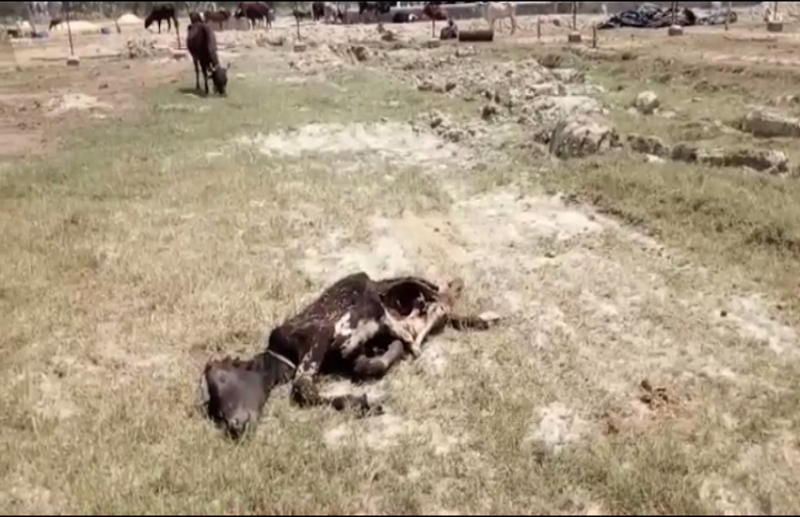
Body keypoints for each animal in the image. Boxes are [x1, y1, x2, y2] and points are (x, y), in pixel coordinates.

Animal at [196, 272, 502, 440]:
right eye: (213, 410)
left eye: (221, 378)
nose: (234, 426)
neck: (282, 352)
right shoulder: (349, 354)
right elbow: (369, 366)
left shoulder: (319, 334)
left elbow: (302, 388)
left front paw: (365, 401)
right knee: (445, 308)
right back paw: (480, 319)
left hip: (395, 283)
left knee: (438, 292)